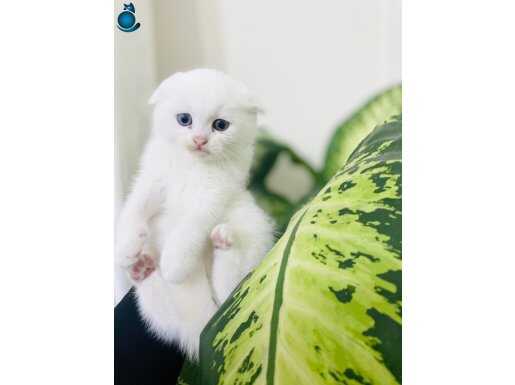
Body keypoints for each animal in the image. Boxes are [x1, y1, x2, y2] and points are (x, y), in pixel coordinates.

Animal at [115, 67, 276, 358]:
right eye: (184, 119)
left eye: (220, 125)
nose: (200, 140)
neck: (191, 166)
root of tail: (199, 330)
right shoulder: (152, 180)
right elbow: (134, 207)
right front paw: (126, 247)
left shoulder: (212, 196)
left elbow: (189, 228)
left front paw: (175, 263)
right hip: (161, 310)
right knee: (163, 310)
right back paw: (142, 269)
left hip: (253, 230)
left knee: (227, 291)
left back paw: (224, 241)